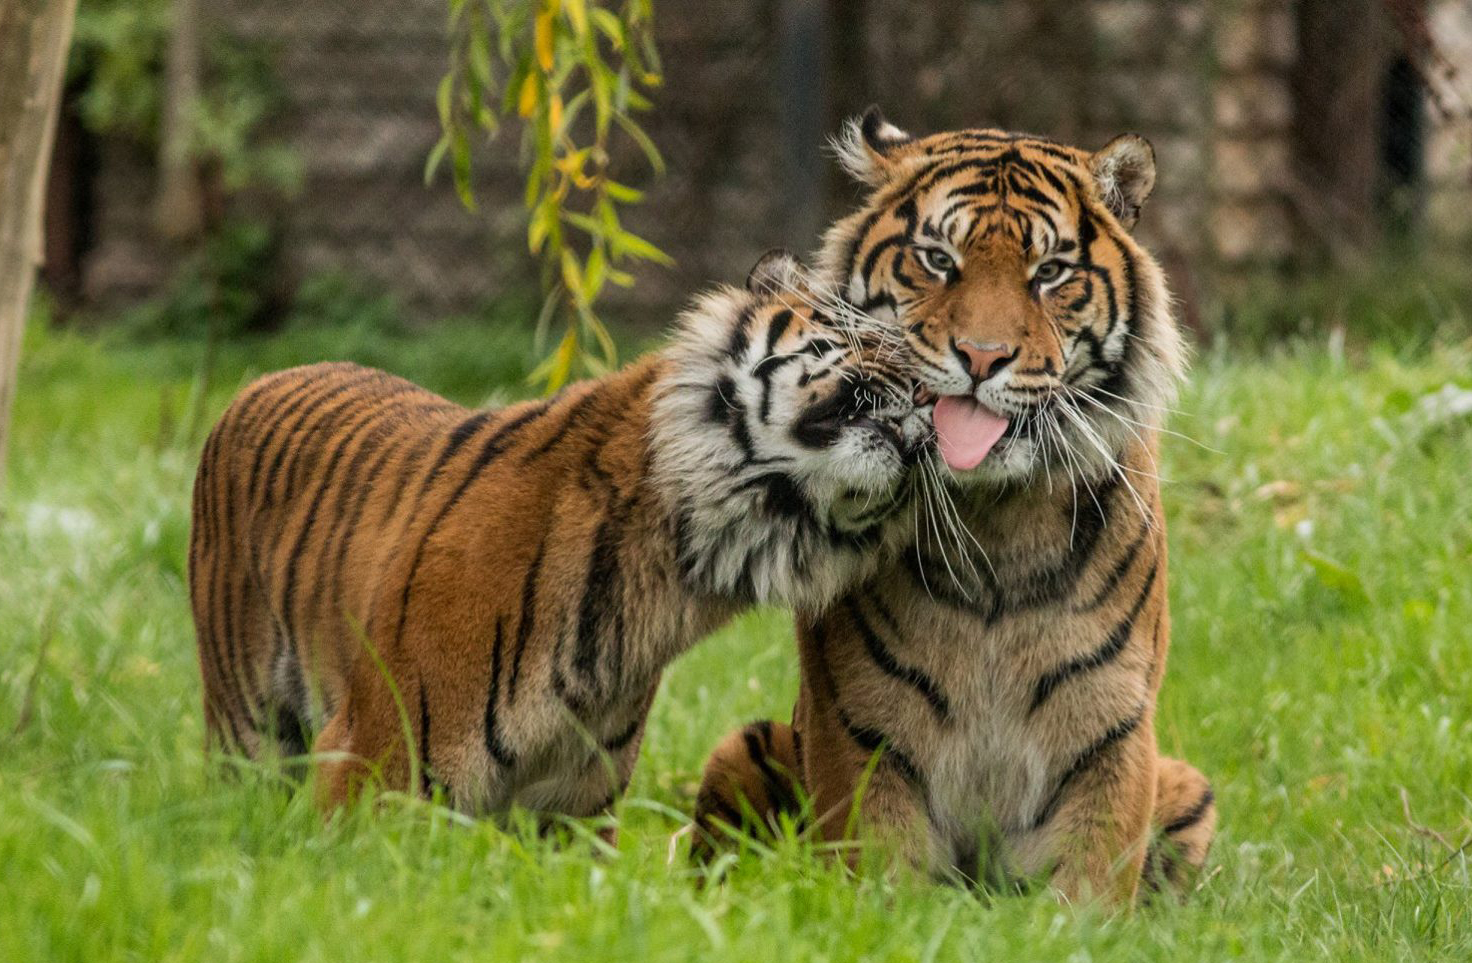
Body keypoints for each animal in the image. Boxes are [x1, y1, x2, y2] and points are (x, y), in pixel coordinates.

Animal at [187, 250, 931, 826]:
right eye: (882, 342)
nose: (936, 409)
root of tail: (261, 381)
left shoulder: (573, 810)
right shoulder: (374, 758)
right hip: (245, 725)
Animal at [692, 112, 1216, 903]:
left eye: (1050, 272)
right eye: (938, 260)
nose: (982, 356)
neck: (996, 517)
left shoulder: (1110, 727)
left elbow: (1090, 881)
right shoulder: (859, 724)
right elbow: (882, 870)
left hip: (1187, 786)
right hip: (742, 748)